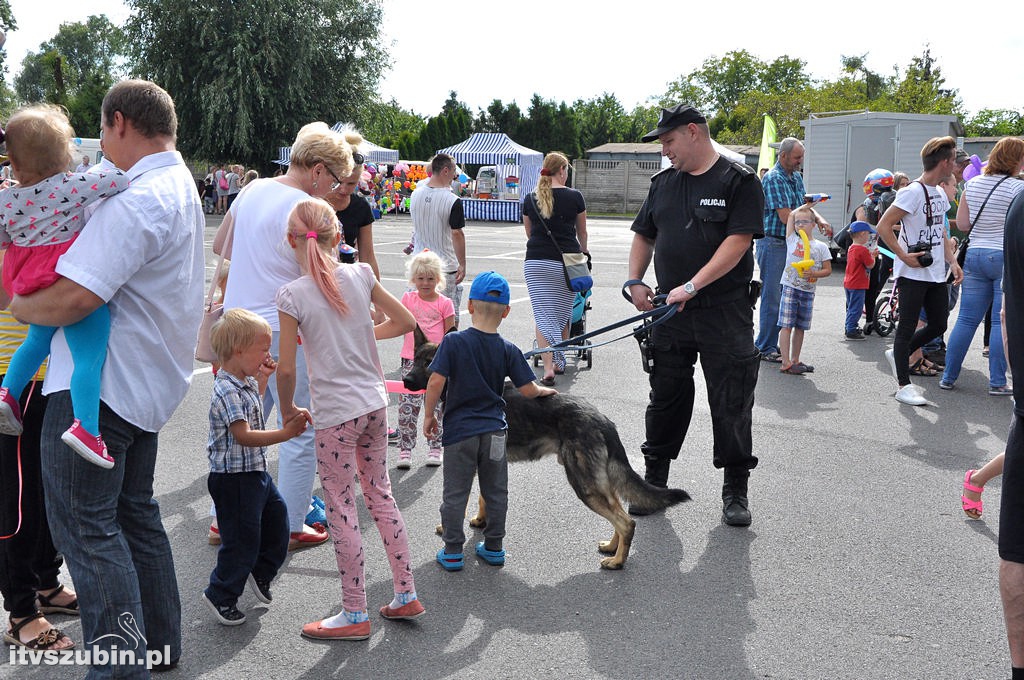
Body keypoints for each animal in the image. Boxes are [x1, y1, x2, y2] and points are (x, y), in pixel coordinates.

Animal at [399, 327, 688, 569]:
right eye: (414, 359)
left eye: (430, 363)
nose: (406, 381)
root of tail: (603, 420)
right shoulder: (488, 461)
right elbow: (484, 496)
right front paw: (482, 522)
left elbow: (461, 501)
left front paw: (448, 527)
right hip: (597, 482)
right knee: (618, 508)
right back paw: (612, 547)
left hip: (584, 484)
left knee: (626, 522)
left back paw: (618, 562)